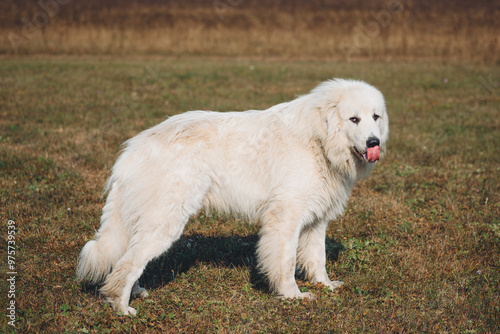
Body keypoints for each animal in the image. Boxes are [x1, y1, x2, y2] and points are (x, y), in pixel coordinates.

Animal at [75, 79, 386, 316]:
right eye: (354, 119)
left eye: (375, 117)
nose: (375, 143)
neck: (319, 138)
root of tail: (133, 148)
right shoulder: (285, 218)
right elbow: (285, 263)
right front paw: (292, 296)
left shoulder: (316, 219)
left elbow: (317, 259)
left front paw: (325, 286)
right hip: (166, 222)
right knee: (127, 265)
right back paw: (121, 307)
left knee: (128, 260)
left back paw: (136, 292)